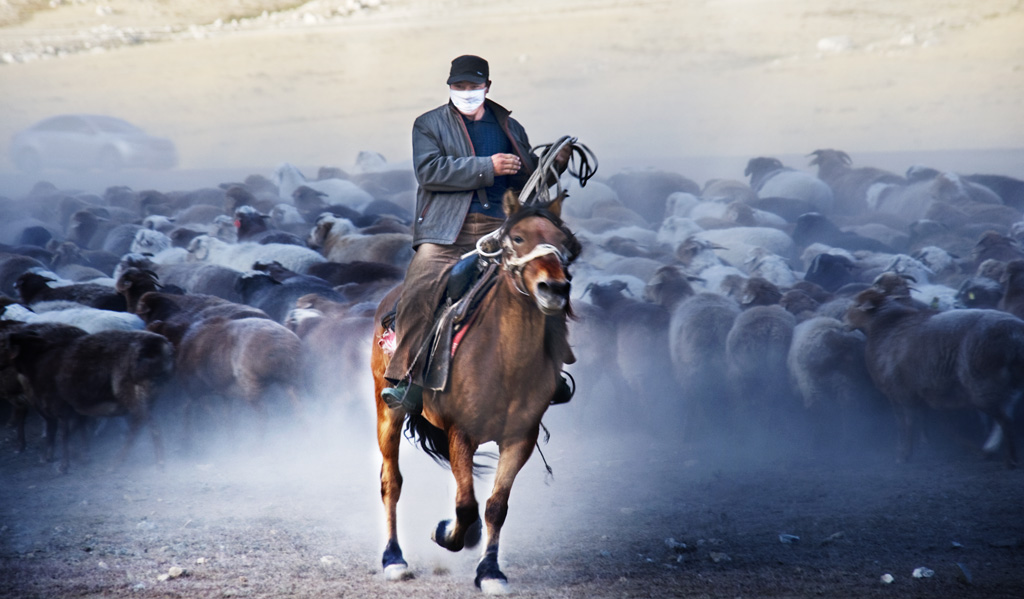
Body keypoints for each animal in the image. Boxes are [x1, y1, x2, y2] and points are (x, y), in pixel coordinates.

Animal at [370, 189, 581, 589]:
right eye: (518, 238)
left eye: (564, 243)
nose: (555, 289)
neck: (505, 361)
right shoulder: (461, 433)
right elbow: (466, 505)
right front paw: (446, 533)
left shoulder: (521, 437)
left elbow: (495, 506)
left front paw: (490, 570)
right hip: (387, 409)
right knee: (391, 481)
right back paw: (393, 558)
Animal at [847, 286, 1024, 466]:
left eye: (856, 305)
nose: (844, 320)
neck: (885, 327)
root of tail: (1015, 334)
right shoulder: (916, 391)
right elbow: (921, 419)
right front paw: (925, 445)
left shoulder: (899, 392)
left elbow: (905, 423)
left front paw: (903, 454)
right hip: (1011, 385)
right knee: (1005, 416)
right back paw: (989, 450)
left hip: (983, 384)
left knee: (1005, 420)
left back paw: (1010, 458)